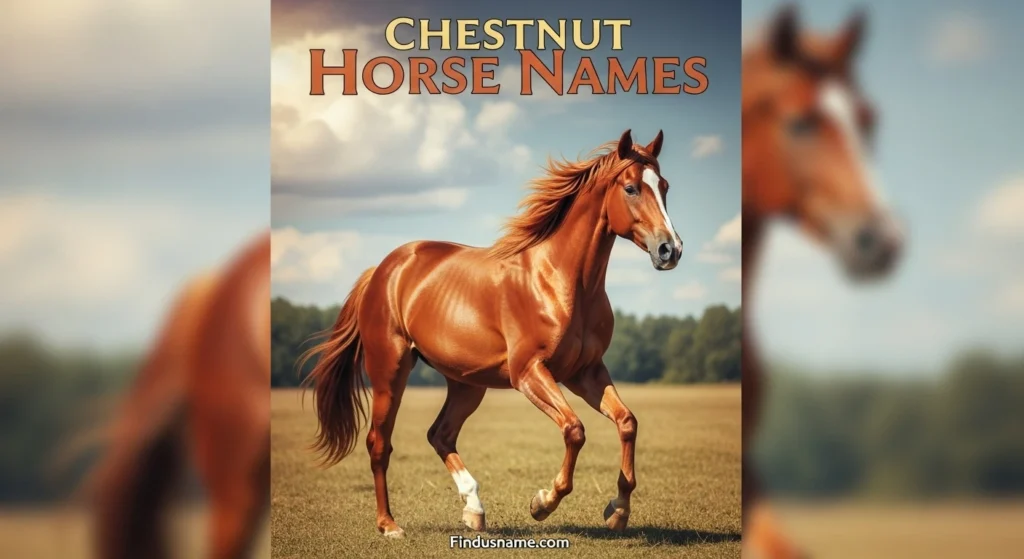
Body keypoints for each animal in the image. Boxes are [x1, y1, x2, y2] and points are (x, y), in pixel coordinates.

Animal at [301, 129, 684, 538]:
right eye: (631, 188)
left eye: (664, 186)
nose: (670, 249)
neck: (561, 281)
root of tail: (383, 270)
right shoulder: (529, 372)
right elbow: (574, 429)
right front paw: (542, 503)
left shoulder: (586, 371)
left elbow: (627, 422)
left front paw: (618, 509)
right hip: (391, 370)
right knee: (379, 443)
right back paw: (390, 525)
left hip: (467, 382)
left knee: (440, 434)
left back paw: (474, 509)